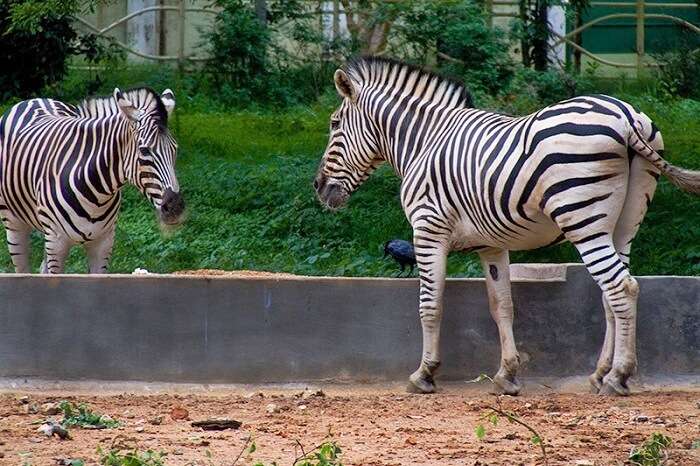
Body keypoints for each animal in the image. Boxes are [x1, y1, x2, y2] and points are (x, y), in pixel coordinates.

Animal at [0, 87, 185, 274]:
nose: (176, 207)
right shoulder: (56, 242)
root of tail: (33, 100)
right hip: (14, 225)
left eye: (175, 149)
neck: (97, 194)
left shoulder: (103, 243)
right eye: (144, 150)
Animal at [316, 55, 700, 396]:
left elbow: (430, 304)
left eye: (335, 124)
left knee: (622, 287)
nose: (318, 188)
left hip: (582, 218)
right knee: (612, 293)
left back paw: (619, 377)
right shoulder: (492, 244)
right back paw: (599, 374)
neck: (424, 142)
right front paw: (507, 375)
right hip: (625, 223)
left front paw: (424, 374)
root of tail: (624, 114)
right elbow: (502, 306)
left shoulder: (428, 229)